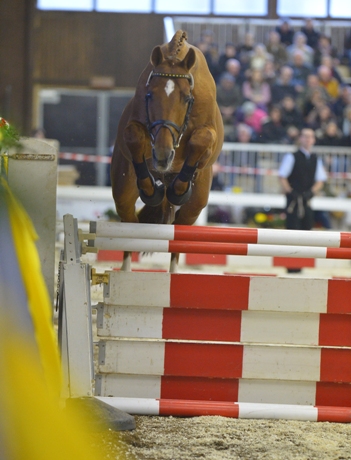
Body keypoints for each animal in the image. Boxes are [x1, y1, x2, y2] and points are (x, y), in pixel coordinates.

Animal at [111, 30, 224, 270]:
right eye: (149, 95)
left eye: (186, 98)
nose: (163, 156)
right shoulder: (137, 127)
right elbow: (133, 136)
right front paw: (152, 190)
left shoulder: (206, 134)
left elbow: (201, 140)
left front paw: (177, 189)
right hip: (123, 191)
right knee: (128, 227)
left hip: (196, 204)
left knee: (179, 236)